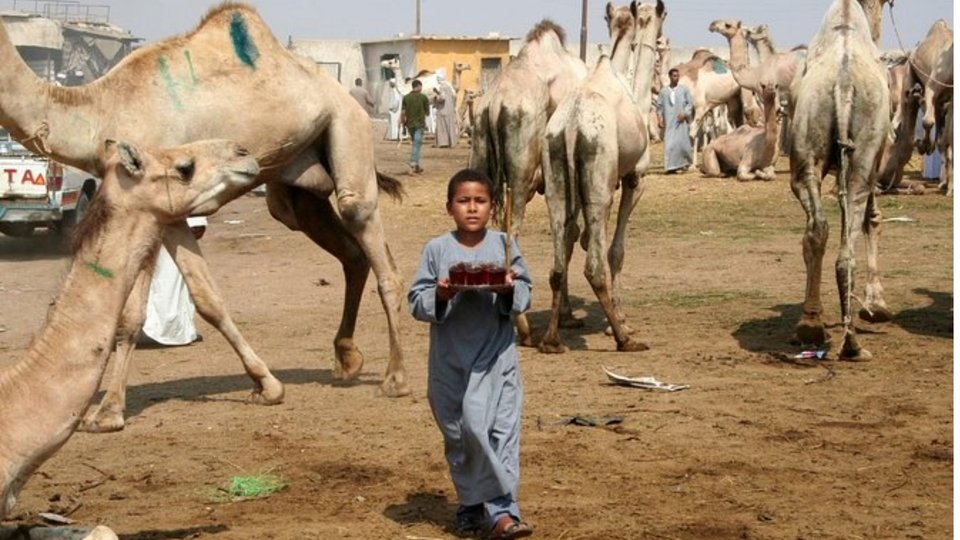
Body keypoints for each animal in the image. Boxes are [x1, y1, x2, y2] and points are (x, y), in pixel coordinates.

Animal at [0, 2, 408, 430]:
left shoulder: (160, 198)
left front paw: (109, 410)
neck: (99, 109)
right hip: (296, 186)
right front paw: (265, 386)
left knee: (366, 228)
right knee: (346, 251)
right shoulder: (151, 206)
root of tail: (346, 96)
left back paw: (395, 378)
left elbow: (155, 308)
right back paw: (347, 359)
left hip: (347, 128)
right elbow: (191, 299)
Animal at [468, 19, 588, 346]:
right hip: (521, 173)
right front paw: (567, 316)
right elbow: (569, 233)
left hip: (479, 150)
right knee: (512, 232)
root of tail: (495, 104)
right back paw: (522, 327)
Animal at [540, 0, 668, 352]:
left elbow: (580, 238)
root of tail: (572, 126)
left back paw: (551, 338)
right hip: (598, 178)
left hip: (557, 176)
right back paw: (626, 340)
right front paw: (620, 321)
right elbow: (616, 250)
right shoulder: (634, 179)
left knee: (558, 260)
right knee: (594, 265)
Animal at [792, 0, 888, 360]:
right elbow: (873, 218)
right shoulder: (877, 159)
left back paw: (811, 325)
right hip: (863, 158)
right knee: (850, 238)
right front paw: (878, 305)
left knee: (818, 228)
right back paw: (851, 343)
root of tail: (844, 85)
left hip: (806, 152)